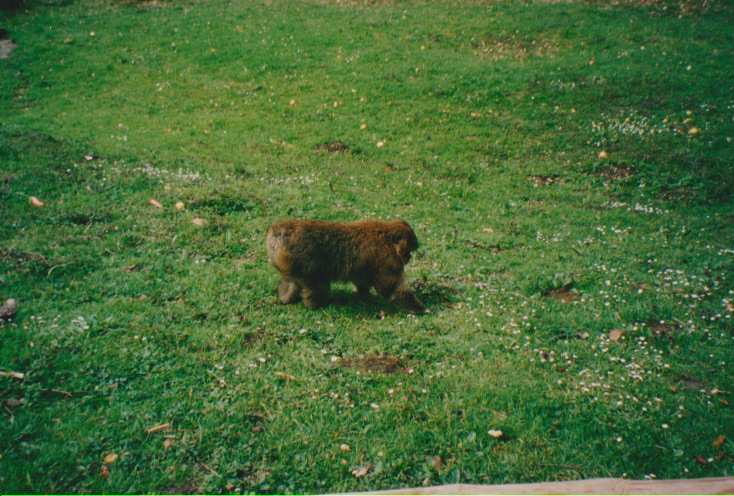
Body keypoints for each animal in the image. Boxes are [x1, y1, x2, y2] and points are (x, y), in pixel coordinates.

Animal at [264, 219, 426, 312]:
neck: (387, 238)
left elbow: (361, 280)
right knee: (318, 282)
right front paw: (420, 308)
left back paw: (285, 297)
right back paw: (317, 305)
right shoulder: (386, 259)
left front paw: (364, 295)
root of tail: (278, 231)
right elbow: (392, 288)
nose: (408, 257)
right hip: (301, 261)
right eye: (409, 249)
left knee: (294, 282)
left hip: (287, 262)